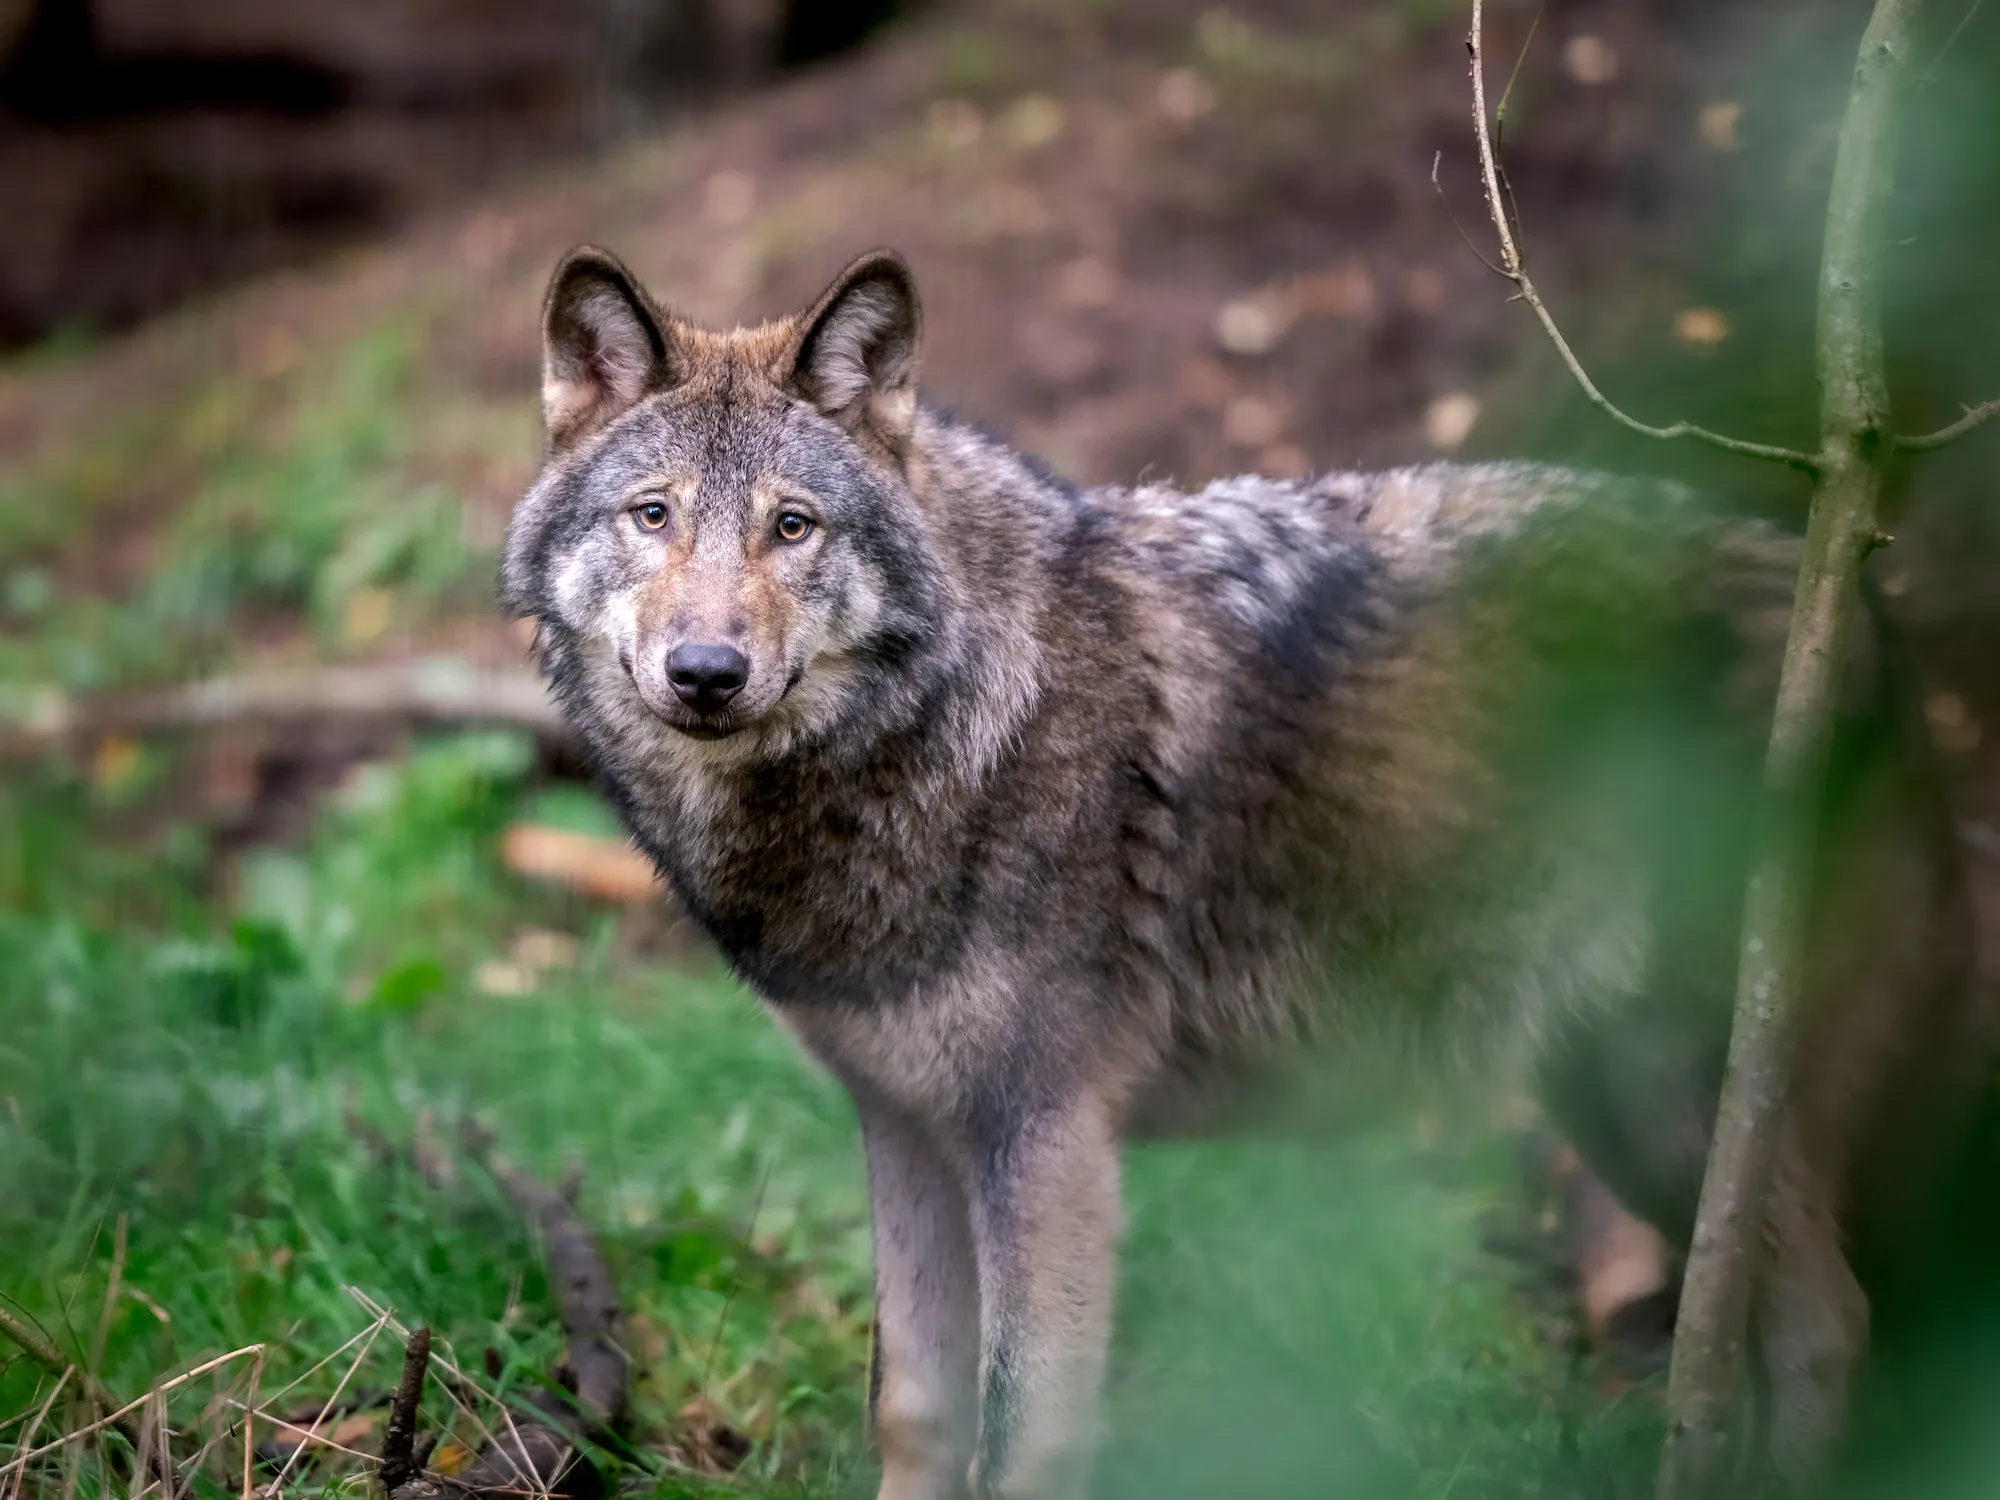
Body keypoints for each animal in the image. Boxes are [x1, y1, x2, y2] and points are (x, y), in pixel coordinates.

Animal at [504, 250, 1984, 1500]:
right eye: (651, 516)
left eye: (793, 526)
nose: (706, 673)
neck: (942, 731)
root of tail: (1858, 611)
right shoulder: (908, 1126)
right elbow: (915, 1416)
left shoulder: (1046, 1143)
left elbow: (1020, 1442)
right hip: (1631, 1110)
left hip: (1690, 1101)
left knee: (1825, 1329)